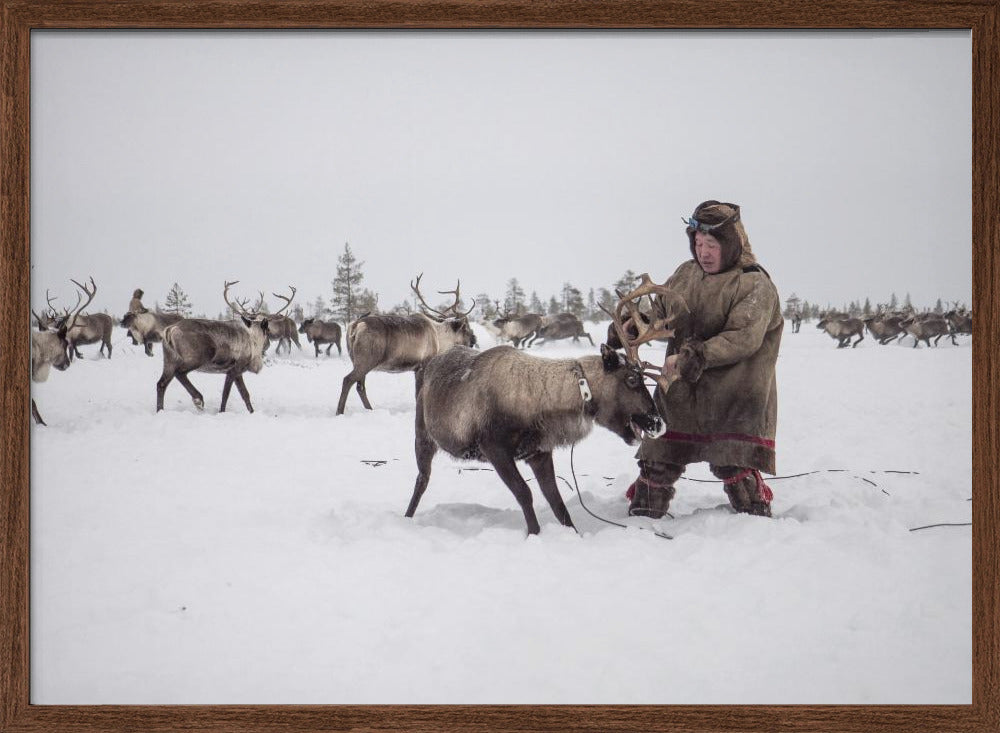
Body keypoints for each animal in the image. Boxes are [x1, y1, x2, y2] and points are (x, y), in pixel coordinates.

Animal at [155, 282, 295, 413]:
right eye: (268, 330)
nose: (267, 345)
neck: (253, 339)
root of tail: (170, 329)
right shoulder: (234, 369)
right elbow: (226, 395)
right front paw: (222, 412)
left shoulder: (238, 372)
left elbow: (245, 394)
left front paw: (252, 412)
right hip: (195, 358)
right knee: (179, 373)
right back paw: (198, 399)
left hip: (169, 359)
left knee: (161, 384)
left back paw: (160, 410)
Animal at [336, 274, 478, 415]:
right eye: (465, 328)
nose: (474, 340)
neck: (439, 336)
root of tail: (356, 325)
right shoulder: (424, 364)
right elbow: (418, 392)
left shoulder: (415, 368)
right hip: (367, 360)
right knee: (348, 380)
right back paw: (340, 412)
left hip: (356, 360)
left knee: (360, 386)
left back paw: (369, 410)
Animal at [405, 276, 687, 535]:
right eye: (631, 379)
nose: (659, 423)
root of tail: (430, 362)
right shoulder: (494, 447)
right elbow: (524, 493)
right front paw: (534, 533)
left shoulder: (539, 452)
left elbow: (556, 500)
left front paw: (572, 533)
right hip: (423, 434)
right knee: (421, 479)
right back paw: (407, 518)